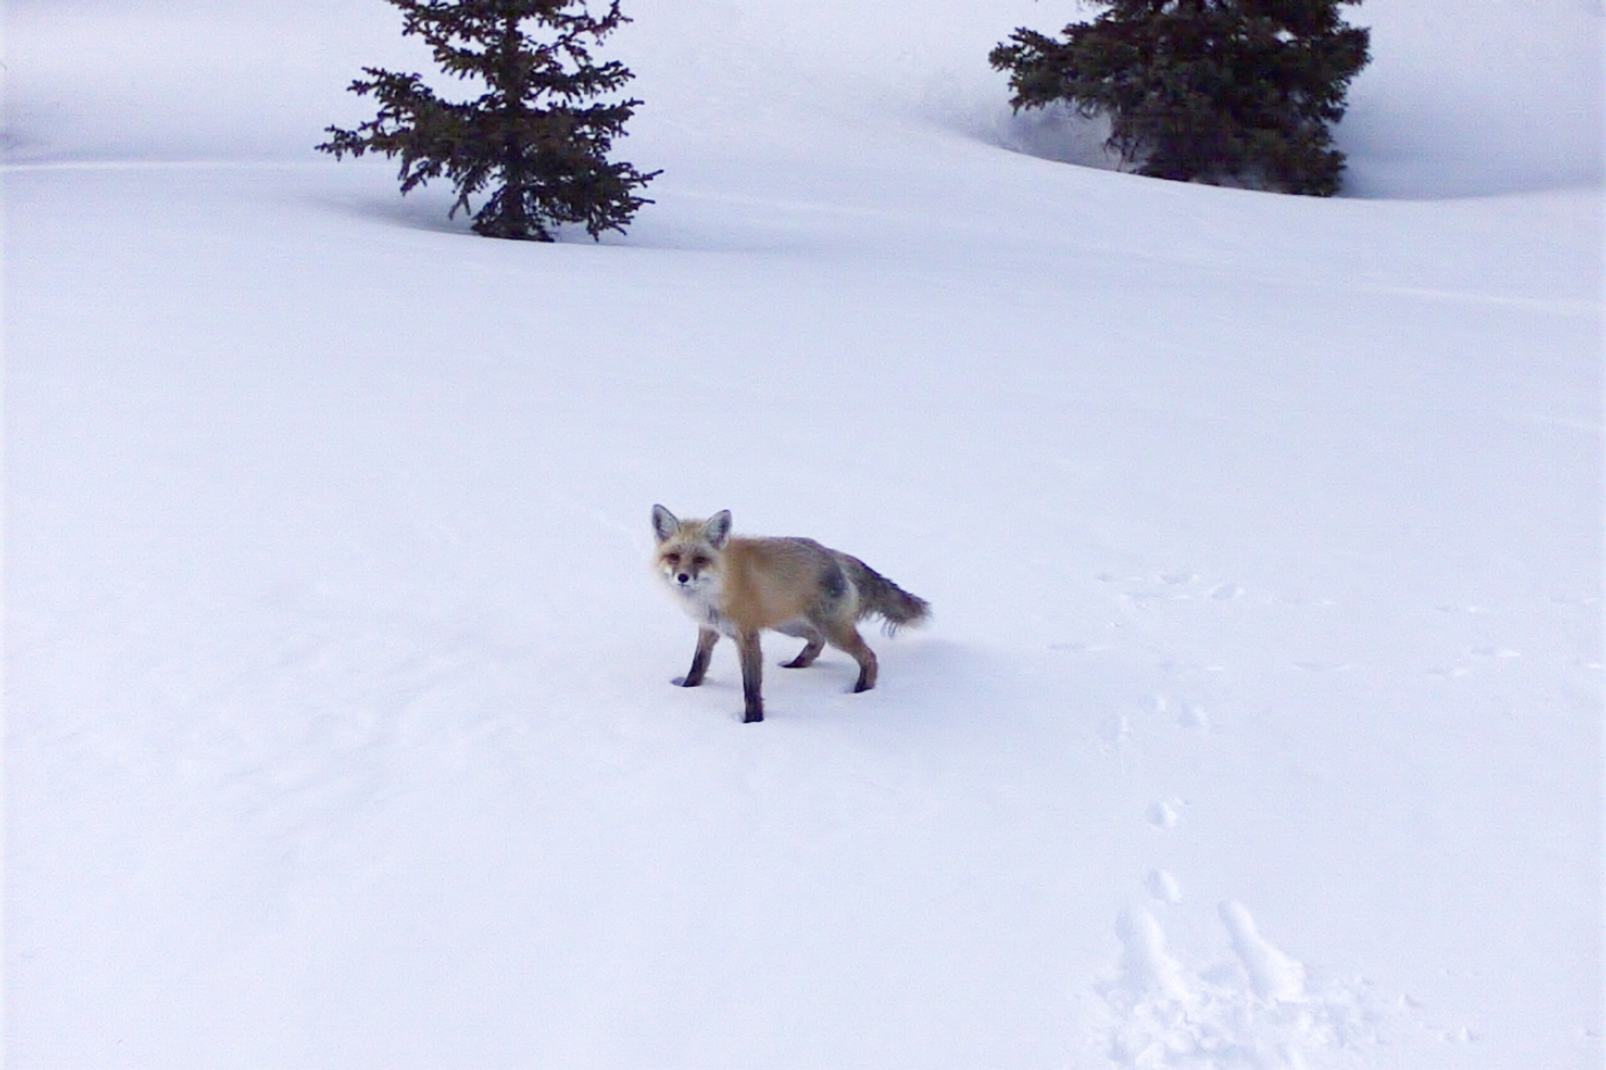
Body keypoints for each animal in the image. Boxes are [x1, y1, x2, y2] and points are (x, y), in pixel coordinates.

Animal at [651, 504, 930, 723]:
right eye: (673, 556)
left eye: (700, 559)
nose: (682, 577)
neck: (716, 588)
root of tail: (832, 553)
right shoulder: (709, 629)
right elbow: (698, 665)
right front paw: (687, 689)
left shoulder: (747, 636)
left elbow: (751, 687)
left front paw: (753, 722)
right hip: (789, 625)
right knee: (817, 641)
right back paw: (797, 665)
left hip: (833, 630)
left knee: (868, 656)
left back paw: (862, 691)